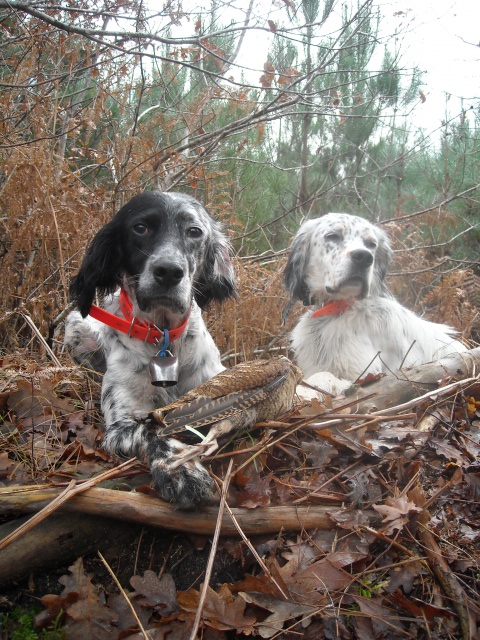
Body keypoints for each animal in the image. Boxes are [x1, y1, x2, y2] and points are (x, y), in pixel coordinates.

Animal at [64, 191, 235, 510]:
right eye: (140, 228)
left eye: (194, 231)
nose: (169, 271)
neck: (164, 338)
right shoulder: (121, 423)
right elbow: (152, 430)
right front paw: (182, 470)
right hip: (75, 325)